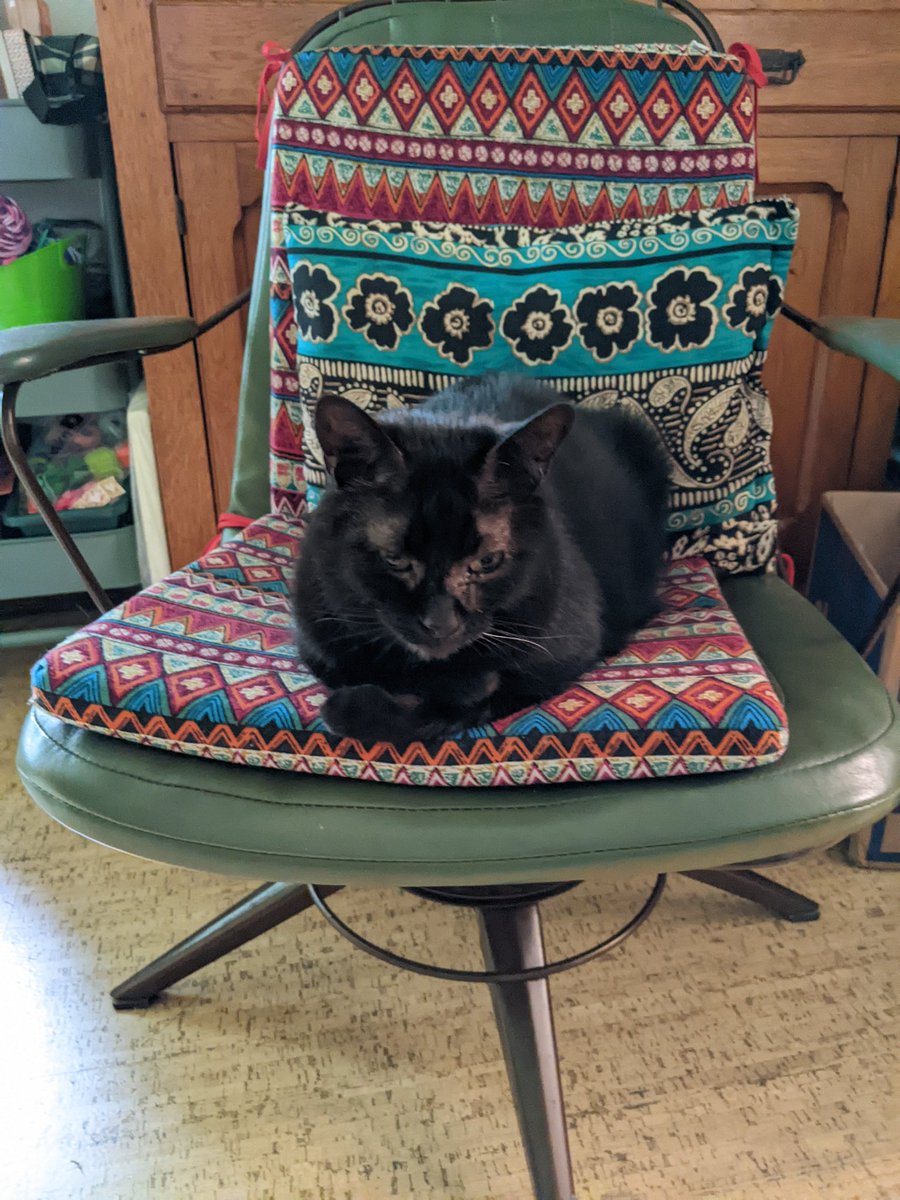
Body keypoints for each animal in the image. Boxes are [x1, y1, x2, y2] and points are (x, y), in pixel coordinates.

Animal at [292, 374, 672, 744]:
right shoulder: (317, 638)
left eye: (487, 562)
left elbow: (471, 697)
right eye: (395, 559)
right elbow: (354, 668)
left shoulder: (561, 655)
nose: (441, 624)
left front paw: (348, 708)